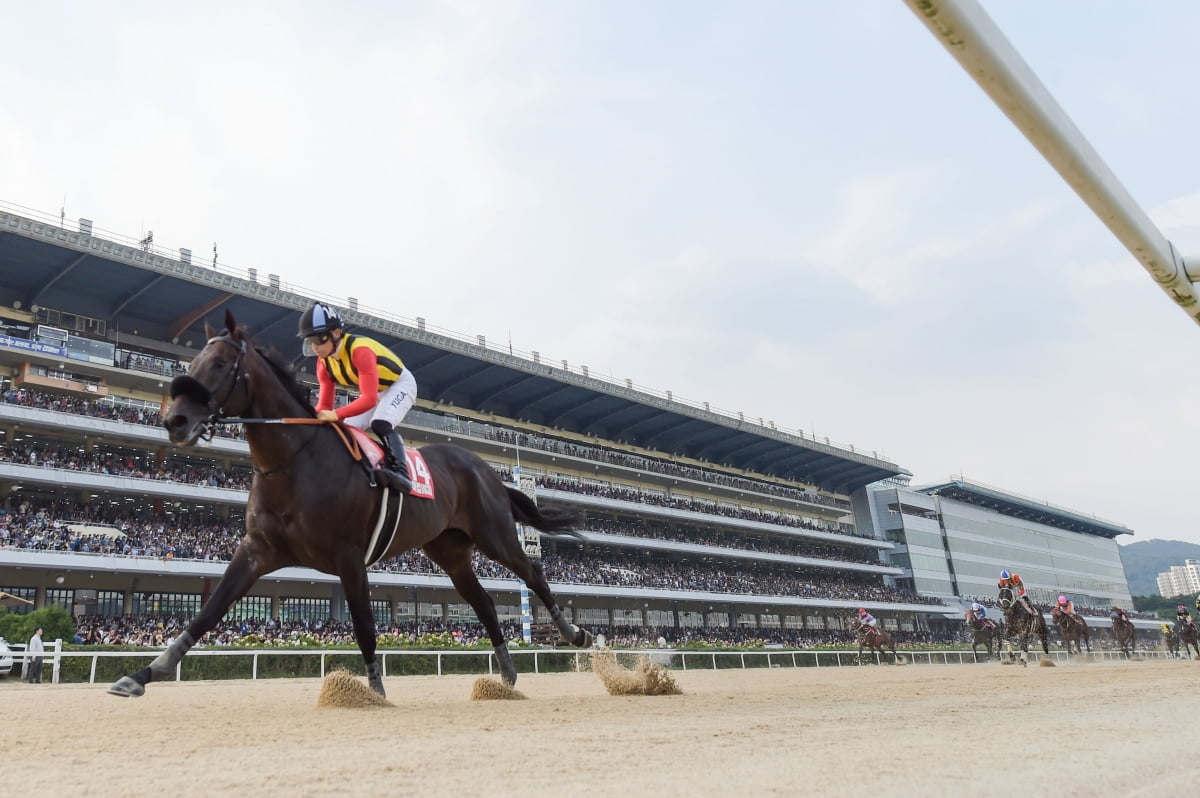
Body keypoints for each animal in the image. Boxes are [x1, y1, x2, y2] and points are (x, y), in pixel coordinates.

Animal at [108, 312, 590, 696]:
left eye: (222, 365)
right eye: (191, 364)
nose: (175, 420)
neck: (296, 461)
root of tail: (485, 467)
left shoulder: (350, 557)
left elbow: (363, 626)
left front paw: (375, 691)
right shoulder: (258, 550)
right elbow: (209, 612)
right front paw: (143, 674)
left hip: (494, 533)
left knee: (534, 572)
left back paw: (575, 634)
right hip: (450, 551)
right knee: (485, 604)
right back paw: (507, 675)